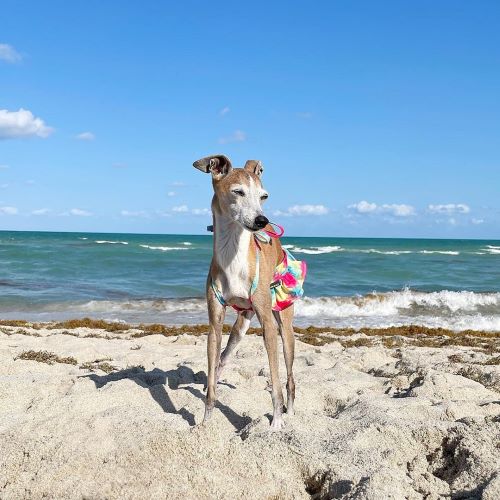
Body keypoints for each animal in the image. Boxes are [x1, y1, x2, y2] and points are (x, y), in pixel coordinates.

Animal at [193, 153, 298, 430]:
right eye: (238, 192)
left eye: (264, 196)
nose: (262, 221)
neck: (232, 254)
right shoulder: (214, 323)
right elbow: (211, 379)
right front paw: (205, 422)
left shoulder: (268, 326)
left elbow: (275, 381)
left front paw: (276, 421)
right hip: (239, 328)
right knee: (222, 361)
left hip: (284, 327)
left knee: (289, 377)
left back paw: (290, 411)